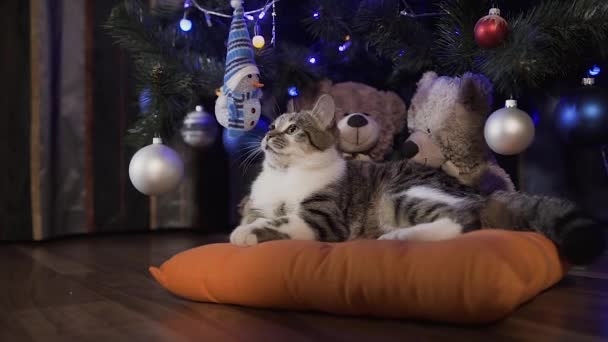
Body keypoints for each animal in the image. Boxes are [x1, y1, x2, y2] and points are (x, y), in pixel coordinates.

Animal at [232, 95, 604, 266]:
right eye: (271, 126)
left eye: (293, 129)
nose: (267, 136)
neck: (284, 175)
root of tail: (477, 193)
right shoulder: (260, 204)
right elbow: (257, 214)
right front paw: (246, 223)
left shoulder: (322, 219)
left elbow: (278, 222)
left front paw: (246, 234)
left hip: (402, 193)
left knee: (461, 221)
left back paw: (397, 237)